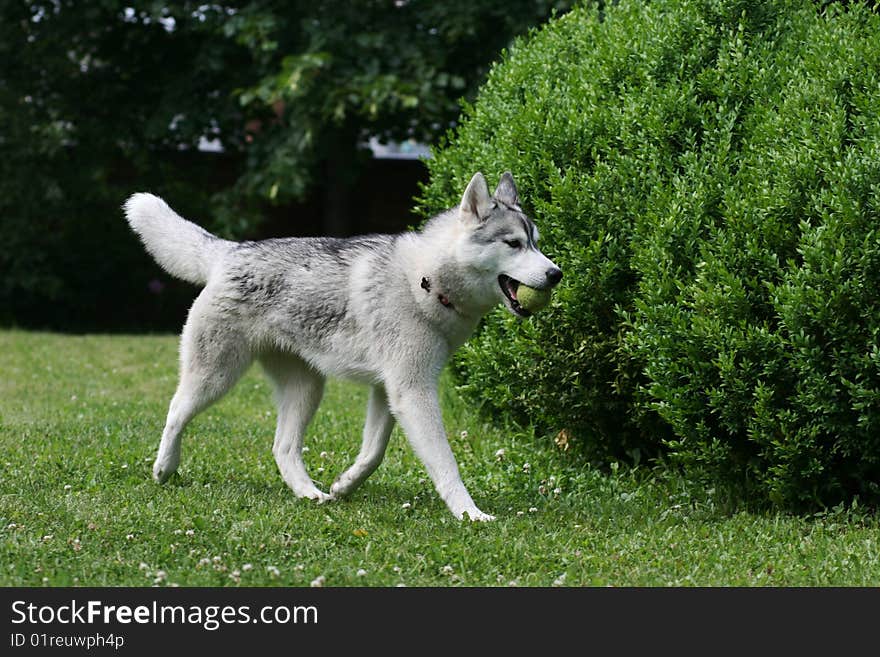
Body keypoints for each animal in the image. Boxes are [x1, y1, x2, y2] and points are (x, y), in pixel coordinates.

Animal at [124, 172, 564, 520]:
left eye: (536, 243)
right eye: (513, 243)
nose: (556, 273)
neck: (424, 280)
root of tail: (231, 250)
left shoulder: (388, 392)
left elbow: (373, 453)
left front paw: (344, 485)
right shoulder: (413, 392)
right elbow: (446, 464)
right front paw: (469, 513)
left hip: (306, 389)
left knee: (283, 447)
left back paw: (309, 493)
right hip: (215, 376)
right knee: (176, 411)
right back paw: (164, 468)